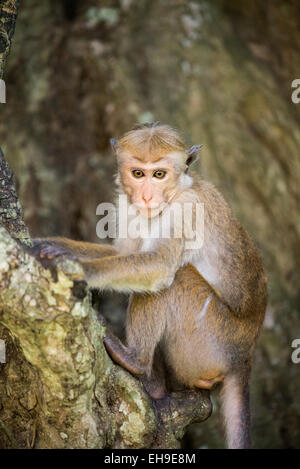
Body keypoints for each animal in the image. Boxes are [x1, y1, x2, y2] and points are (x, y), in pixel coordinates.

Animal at [31, 122, 268, 448]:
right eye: (138, 173)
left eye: (159, 174)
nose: (145, 196)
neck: (175, 193)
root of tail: (245, 357)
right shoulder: (125, 204)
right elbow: (121, 253)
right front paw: (50, 243)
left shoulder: (187, 209)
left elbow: (159, 266)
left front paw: (75, 265)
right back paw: (154, 382)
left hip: (212, 341)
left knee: (176, 279)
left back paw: (137, 362)